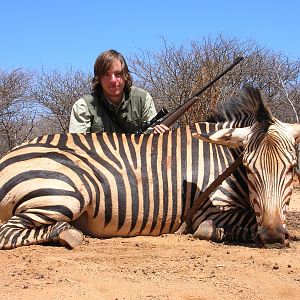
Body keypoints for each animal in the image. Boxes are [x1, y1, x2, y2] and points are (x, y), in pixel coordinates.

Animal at [0, 85, 298, 248]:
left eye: (292, 168)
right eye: (249, 168)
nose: (272, 236)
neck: (224, 158)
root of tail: (7, 157)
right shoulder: (208, 210)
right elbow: (227, 225)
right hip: (65, 193)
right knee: (7, 232)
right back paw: (68, 234)